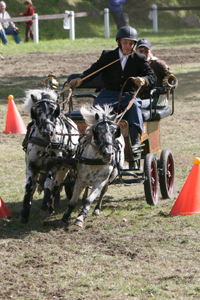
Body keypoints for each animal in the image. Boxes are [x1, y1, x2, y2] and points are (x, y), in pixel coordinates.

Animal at [19, 89, 79, 223]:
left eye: (53, 111)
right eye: (37, 112)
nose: (48, 132)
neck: (46, 143)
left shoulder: (54, 164)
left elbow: (49, 184)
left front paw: (44, 208)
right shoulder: (31, 164)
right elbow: (29, 186)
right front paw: (24, 212)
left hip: (64, 170)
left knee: (56, 185)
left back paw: (49, 206)